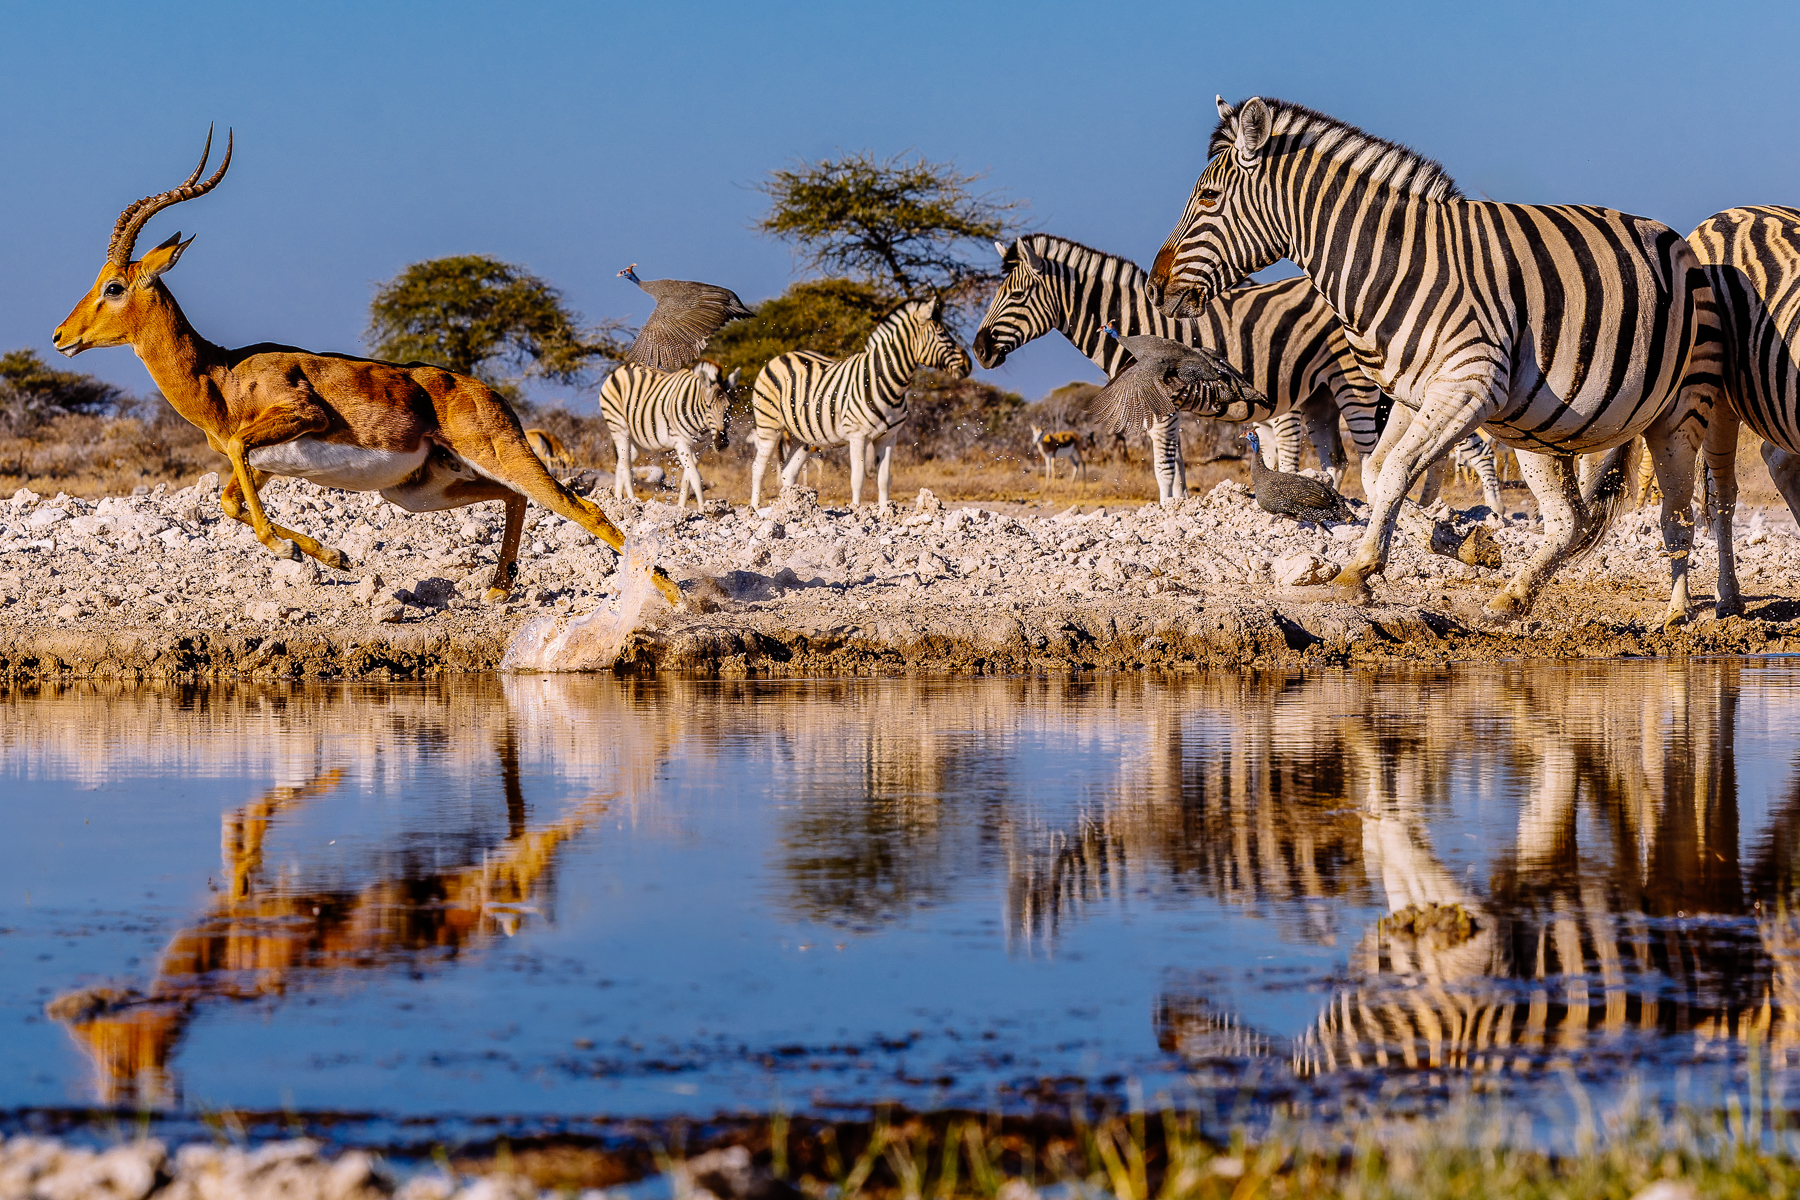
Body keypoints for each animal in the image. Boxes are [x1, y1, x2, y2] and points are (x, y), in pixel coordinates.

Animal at [51, 130, 680, 607]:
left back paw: (674, 599)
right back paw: (498, 590)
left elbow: (236, 460)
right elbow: (230, 498)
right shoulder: (265, 464)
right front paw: (331, 554)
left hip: (498, 455)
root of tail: (486, 391)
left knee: (582, 506)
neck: (220, 376)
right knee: (517, 498)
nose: (60, 337)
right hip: (422, 489)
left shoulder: (297, 416)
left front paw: (289, 549)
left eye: (112, 287)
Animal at [598, 360, 736, 509]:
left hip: (632, 435)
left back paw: (618, 500)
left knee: (623, 462)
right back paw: (631, 501)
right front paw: (703, 509)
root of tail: (622, 368)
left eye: (729, 407)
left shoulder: (700, 447)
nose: (721, 443)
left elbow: (687, 478)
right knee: (625, 466)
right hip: (618, 426)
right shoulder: (681, 442)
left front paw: (681, 508)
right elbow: (695, 476)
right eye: (708, 406)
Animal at [750, 297, 970, 508]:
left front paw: (885, 512)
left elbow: (884, 480)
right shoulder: (857, 435)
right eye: (941, 334)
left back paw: (789, 507)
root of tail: (781, 356)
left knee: (788, 473)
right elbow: (858, 478)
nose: (968, 364)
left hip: (801, 437)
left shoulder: (888, 438)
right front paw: (856, 512)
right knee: (758, 468)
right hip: (769, 425)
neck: (885, 380)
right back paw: (754, 511)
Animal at [972, 234, 1504, 510]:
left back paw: (1481, 513)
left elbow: (1165, 462)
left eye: (1015, 294)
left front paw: (1170, 509)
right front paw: (1181, 505)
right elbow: (1177, 463)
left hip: (1356, 386)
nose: (978, 349)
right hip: (1322, 396)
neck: (1136, 322)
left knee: (1400, 450)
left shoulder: (1163, 401)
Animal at [1148, 96, 1728, 627]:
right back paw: (1513, 597)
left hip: (1678, 413)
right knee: (1570, 521)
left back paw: (1678, 614)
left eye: (1208, 197)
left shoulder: (1469, 386)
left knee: (1679, 517)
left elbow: (1398, 470)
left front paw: (1357, 571)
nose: (1154, 289)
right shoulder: (1414, 394)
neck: (1393, 263)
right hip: (1543, 428)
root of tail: (1679, 244)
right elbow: (1379, 473)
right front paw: (1434, 550)